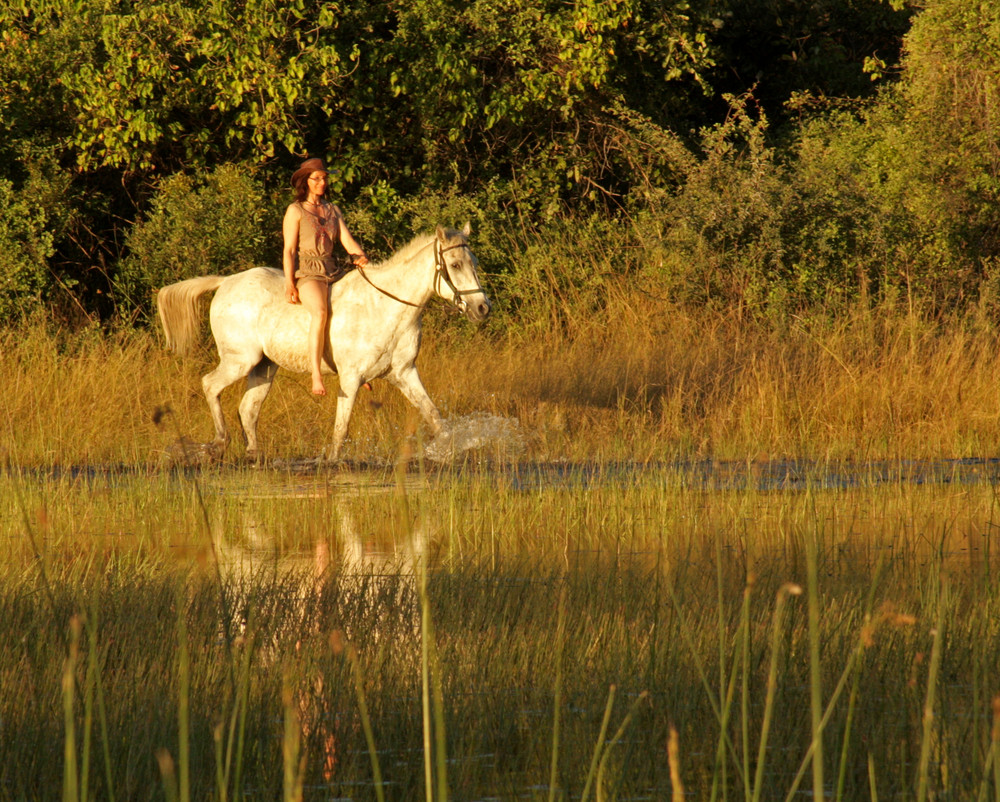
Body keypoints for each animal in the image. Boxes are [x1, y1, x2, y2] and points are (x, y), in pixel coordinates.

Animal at [155, 225, 492, 460]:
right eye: (455, 265)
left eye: (473, 262)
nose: (482, 308)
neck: (387, 307)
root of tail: (225, 281)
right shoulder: (351, 378)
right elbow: (340, 431)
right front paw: (332, 464)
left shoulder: (405, 373)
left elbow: (434, 417)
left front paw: (448, 452)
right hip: (240, 359)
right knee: (210, 385)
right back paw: (218, 444)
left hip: (264, 367)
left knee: (248, 409)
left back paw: (254, 457)